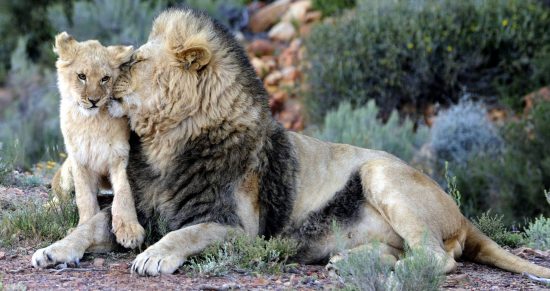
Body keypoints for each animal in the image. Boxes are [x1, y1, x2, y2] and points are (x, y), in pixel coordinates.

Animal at [32, 8, 548, 278]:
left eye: (134, 61)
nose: (103, 84)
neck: (166, 141)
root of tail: (463, 216)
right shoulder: (142, 206)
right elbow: (91, 225)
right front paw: (55, 250)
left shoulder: (239, 228)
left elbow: (187, 232)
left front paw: (155, 255)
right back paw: (350, 260)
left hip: (381, 173)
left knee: (439, 260)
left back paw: (386, 271)